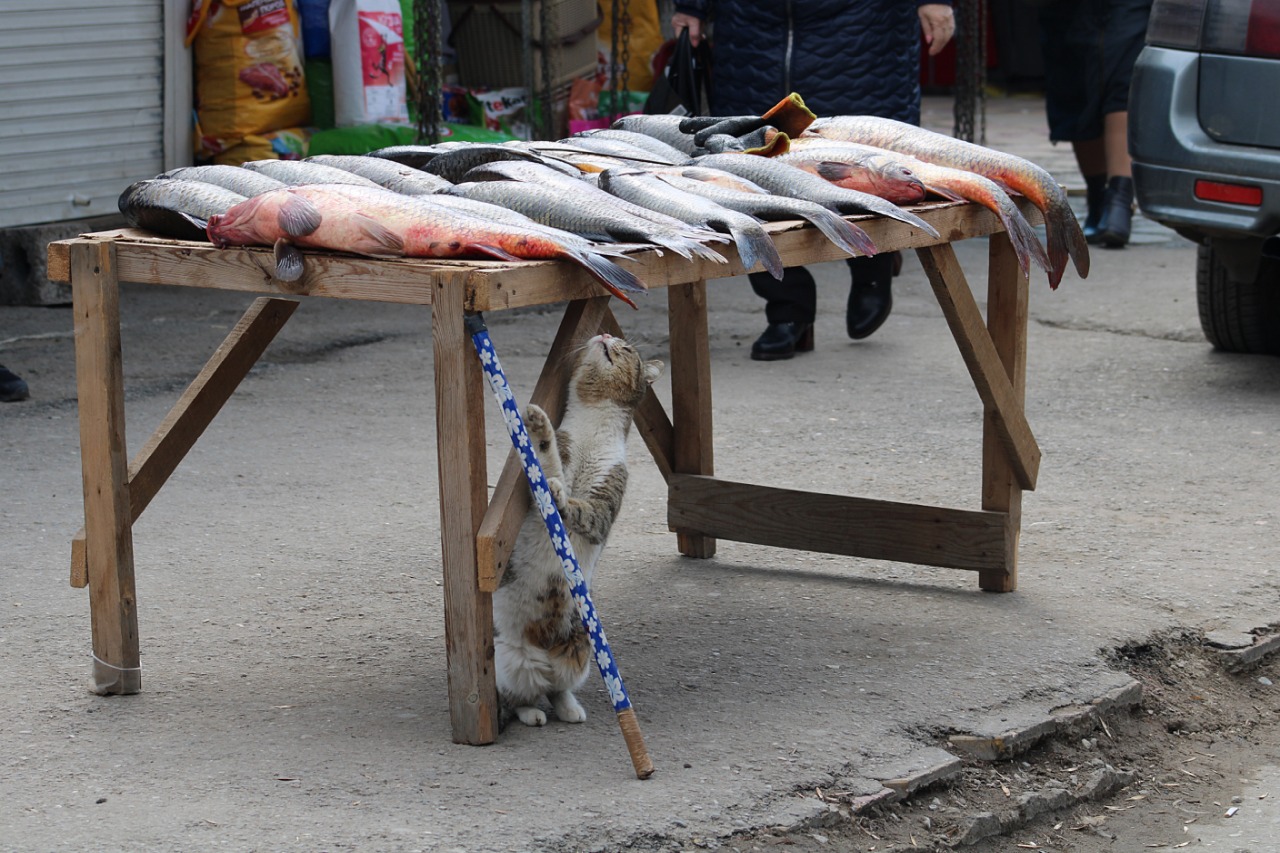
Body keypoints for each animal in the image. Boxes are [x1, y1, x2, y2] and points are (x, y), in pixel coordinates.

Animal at [494, 333, 665, 722]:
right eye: (608, 336)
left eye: (626, 348)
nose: (605, 335)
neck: (593, 424)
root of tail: (543, 655)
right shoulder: (548, 470)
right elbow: (549, 459)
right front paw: (538, 427)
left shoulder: (603, 507)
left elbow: (584, 510)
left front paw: (563, 498)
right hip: (508, 664)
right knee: (521, 696)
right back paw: (532, 713)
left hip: (585, 651)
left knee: (557, 687)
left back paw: (569, 708)